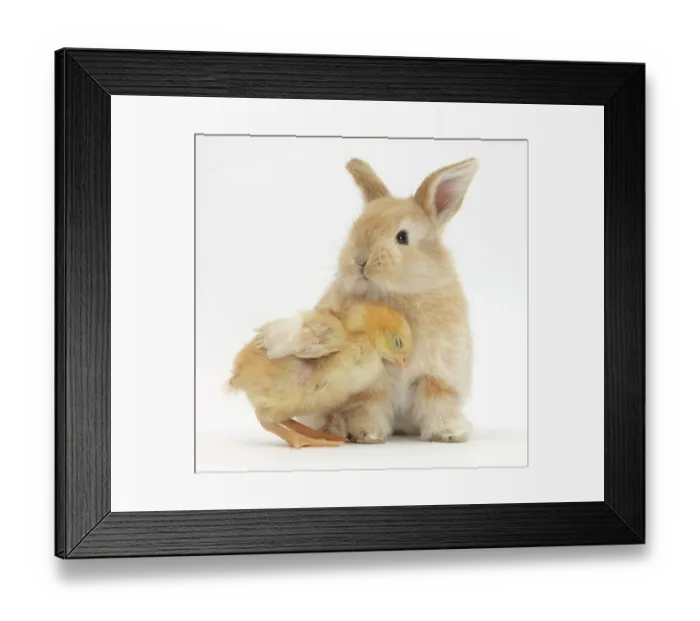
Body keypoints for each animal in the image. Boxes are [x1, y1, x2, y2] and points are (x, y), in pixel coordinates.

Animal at [308, 157, 480, 444]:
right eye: (355, 228)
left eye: (402, 237)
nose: (360, 260)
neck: (398, 295)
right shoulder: (368, 380)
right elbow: (367, 404)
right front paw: (367, 434)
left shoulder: (439, 371)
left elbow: (438, 400)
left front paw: (447, 433)